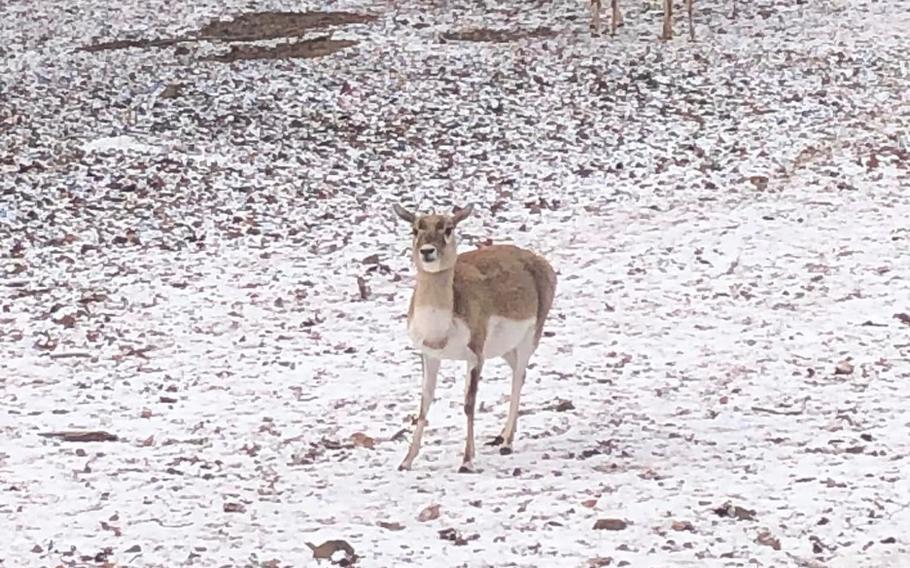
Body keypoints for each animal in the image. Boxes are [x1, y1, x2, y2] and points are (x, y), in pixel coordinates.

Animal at [394, 204, 560, 474]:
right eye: (415, 229)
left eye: (448, 228)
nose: (427, 251)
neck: (439, 330)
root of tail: (538, 261)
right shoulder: (429, 355)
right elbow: (424, 403)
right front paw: (406, 461)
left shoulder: (476, 355)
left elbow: (469, 403)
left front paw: (467, 461)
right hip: (505, 349)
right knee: (518, 372)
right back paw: (503, 437)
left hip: (530, 338)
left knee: (519, 377)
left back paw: (506, 443)